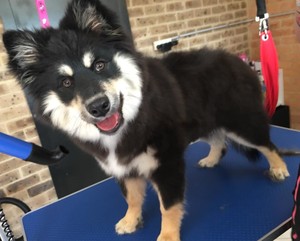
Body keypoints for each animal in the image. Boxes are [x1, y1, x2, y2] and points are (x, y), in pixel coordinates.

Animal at [2, 0, 292, 241]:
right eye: (65, 82)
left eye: (99, 65)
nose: (99, 106)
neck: (132, 118)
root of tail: (238, 61)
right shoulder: (122, 166)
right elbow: (131, 198)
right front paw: (130, 221)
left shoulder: (167, 163)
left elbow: (169, 207)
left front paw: (167, 236)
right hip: (203, 122)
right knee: (219, 142)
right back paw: (211, 159)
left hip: (241, 123)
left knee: (268, 145)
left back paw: (278, 168)